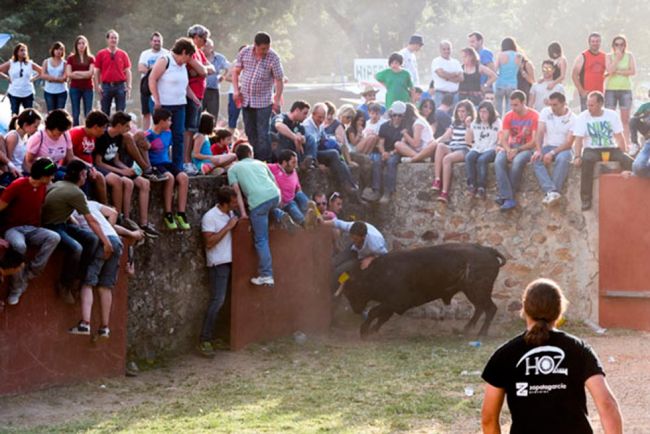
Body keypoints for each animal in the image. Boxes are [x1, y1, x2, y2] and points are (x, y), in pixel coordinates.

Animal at [342, 242, 504, 338]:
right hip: (473, 292)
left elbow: (374, 312)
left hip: (478, 291)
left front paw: (364, 331)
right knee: (480, 308)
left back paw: (482, 334)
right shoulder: (391, 304)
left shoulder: (395, 302)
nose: (356, 310)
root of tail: (488, 251)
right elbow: (382, 317)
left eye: (352, 290)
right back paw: (466, 330)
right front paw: (372, 331)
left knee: (490, 308)